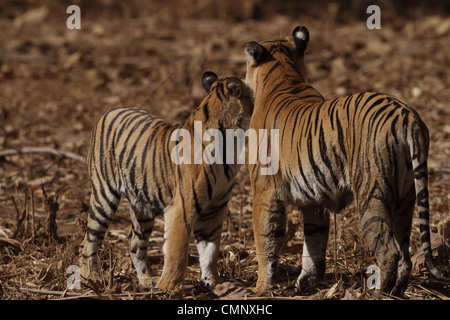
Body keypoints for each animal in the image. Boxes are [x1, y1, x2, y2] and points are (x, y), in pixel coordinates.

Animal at [80, 71, 253, 292]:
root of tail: (110, 111)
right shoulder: (182, 208)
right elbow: (176, 252)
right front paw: (167, 288)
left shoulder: (214, 210)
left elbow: (210, 251)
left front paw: (214, 284)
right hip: (104, 196)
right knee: (89, 241)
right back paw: (92, 279)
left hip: (142, 207)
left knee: (135, 243)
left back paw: (147, 279)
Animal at [244, 26, 444, 296]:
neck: (283, 73)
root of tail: (407, 116)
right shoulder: (314, 201)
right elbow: (314, 244)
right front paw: (305, 284)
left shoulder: (264, 192)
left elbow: (265, 240)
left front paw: (260, 288)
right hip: (406, 198)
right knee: (405, 253)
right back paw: (397, 292)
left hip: (372, 195)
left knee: (389, 250)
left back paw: (379, 293)